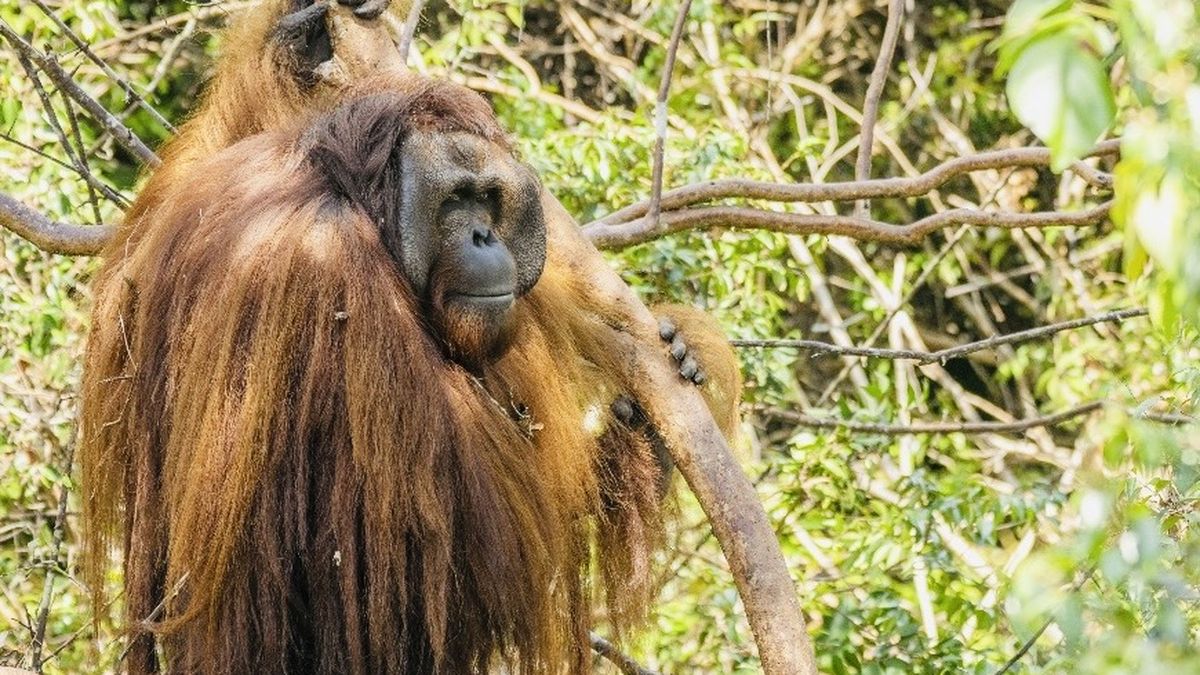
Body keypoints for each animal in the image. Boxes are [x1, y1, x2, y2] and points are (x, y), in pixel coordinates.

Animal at [78, 1, 741, 672]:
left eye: (489, 199)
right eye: (454, 201)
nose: (485, 237)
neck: (348, 194)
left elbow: (127, 273)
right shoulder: (333, 273)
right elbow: (453, 548)